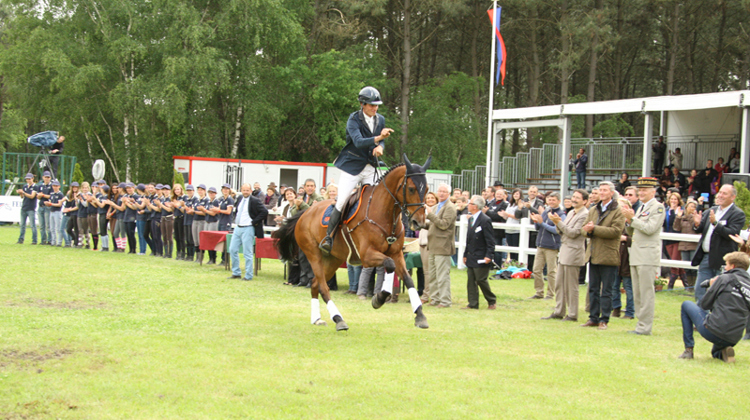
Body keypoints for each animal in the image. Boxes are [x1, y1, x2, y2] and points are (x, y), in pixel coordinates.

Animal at [274, 155, 432, 332]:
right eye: (411, 189)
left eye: (426, 189)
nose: (419, 222)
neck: (384, 213)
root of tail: (305, 212)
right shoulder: (367, 256)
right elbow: (389, 265)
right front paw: (379, 298)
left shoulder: (397, 254)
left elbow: (407, 279)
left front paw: (420, 316)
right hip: (313, 255)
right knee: (322, 286)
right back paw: (338, 319)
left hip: (333, 259)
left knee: (315, 284)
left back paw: (317, 319)